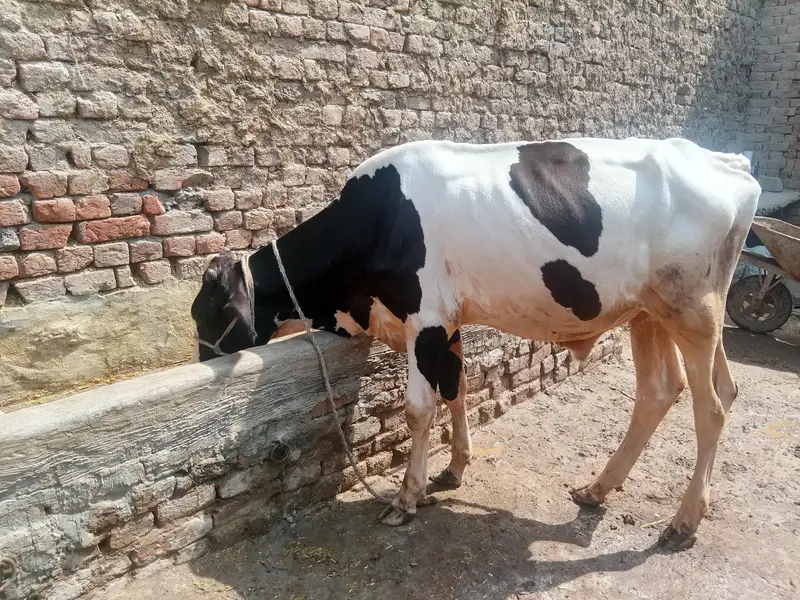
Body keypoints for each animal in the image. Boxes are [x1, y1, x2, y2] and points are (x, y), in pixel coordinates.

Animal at [191, 137, 760, 550]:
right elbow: (457, 387)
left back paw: (683, 522)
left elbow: (419, 409)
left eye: (206, 314)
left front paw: (407, 498)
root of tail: (724, 160)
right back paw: (597, 489)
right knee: (667, 390)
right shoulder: (448, 319)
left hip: (693, 311)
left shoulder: (425, 317)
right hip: (651, 313)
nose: (201, 360)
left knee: (710, 407)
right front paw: (454, 468)